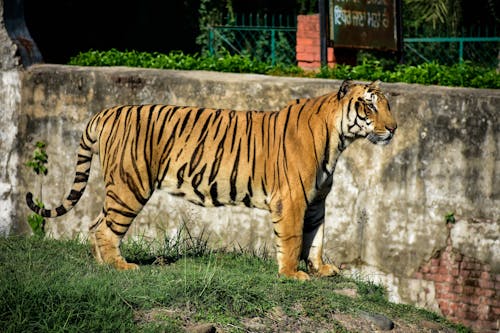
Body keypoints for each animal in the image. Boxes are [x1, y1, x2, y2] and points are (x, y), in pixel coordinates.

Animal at [26, 79, 394, 278]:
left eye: (388, 106)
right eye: (370, 107)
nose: (393, 128)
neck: (339, 140)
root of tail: (106, 111)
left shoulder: (316, 201)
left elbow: (316, 238)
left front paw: (321, 269)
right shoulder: (291, 199)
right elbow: (291, 240)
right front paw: (292, 274)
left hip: (121, 186)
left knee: (94, 225)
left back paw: (103, 264)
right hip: (131, 185)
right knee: (105, 228)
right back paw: (122, 267)